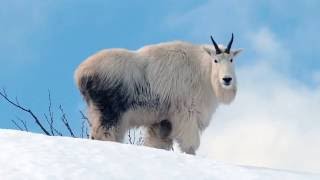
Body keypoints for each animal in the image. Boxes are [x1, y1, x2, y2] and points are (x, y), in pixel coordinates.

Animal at [74, 34, 241, 155]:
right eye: (215, 60)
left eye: (231, 59)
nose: (227, 79)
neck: (202, 71)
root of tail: (81, 74)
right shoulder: (187, 113)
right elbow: (190, 145)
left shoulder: (163, 121)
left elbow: (157, 143)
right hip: (109, 113)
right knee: (103, 135)